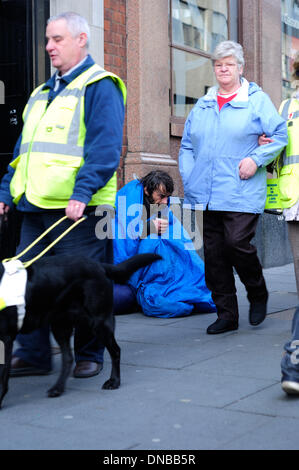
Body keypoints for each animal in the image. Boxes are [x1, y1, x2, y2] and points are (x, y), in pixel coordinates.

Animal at [0, 253, 162, 408]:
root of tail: (99, 265)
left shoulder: (6, 339)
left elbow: (3, 375)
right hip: (60, 324)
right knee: (68, 358)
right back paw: (58, 388)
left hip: (98, 322)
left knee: (116, 351)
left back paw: (114, 381)